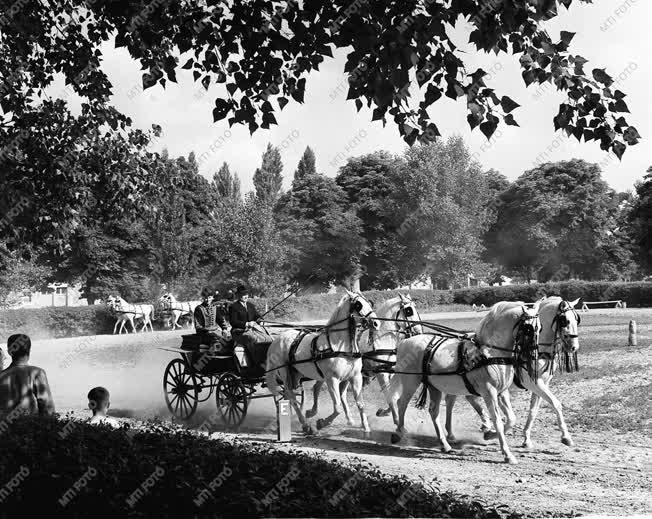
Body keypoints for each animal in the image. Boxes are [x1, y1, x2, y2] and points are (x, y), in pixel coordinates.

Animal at [264, 292, 380, 434]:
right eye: (359, 305)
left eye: (370, 303)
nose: (376, 323)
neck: (340, 347)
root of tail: (277, 339)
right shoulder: (332, 379)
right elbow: (337, 408)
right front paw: (322, 423)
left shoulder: (355, 377)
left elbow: (360, 404)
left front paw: (365, 427)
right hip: (285, 372)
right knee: (291, 395)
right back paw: (305, 424)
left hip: (296, 374)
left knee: (290, 395)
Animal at [304, 294, 422, 424]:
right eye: (409, 311)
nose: (419, 331)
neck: (379, 340)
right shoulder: (381, 374)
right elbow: (389, 395)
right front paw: (396, 419)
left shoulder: (389, 371)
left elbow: (394, 393)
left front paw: (384, 411)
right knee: (317, 388)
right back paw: (312, 412)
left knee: (340, 393)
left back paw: (348, 418)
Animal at [388, 302, 540, 466]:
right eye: (528, 329)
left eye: (539, 327)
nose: (533, 355)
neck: (490, 353)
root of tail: (405, 342)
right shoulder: (489, 392)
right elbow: (498, 421)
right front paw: (507, 454)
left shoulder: (502, 392)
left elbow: (511, 419)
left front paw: (489, 434)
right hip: (411, 381)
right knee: (402, 403)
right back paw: (399, 432)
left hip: (434, 387)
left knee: (433, 411)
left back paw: (444, 444)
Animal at [446, 298, 584, 448]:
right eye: (564, 320)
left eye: (577, 320)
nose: (574, 347)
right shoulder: (533, 383)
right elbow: (555, 403)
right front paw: (566, 437)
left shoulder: (543, 383)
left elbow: (533, 410)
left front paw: (526, 438)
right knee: (454, 400)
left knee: (469, 398)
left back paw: (485, 425)